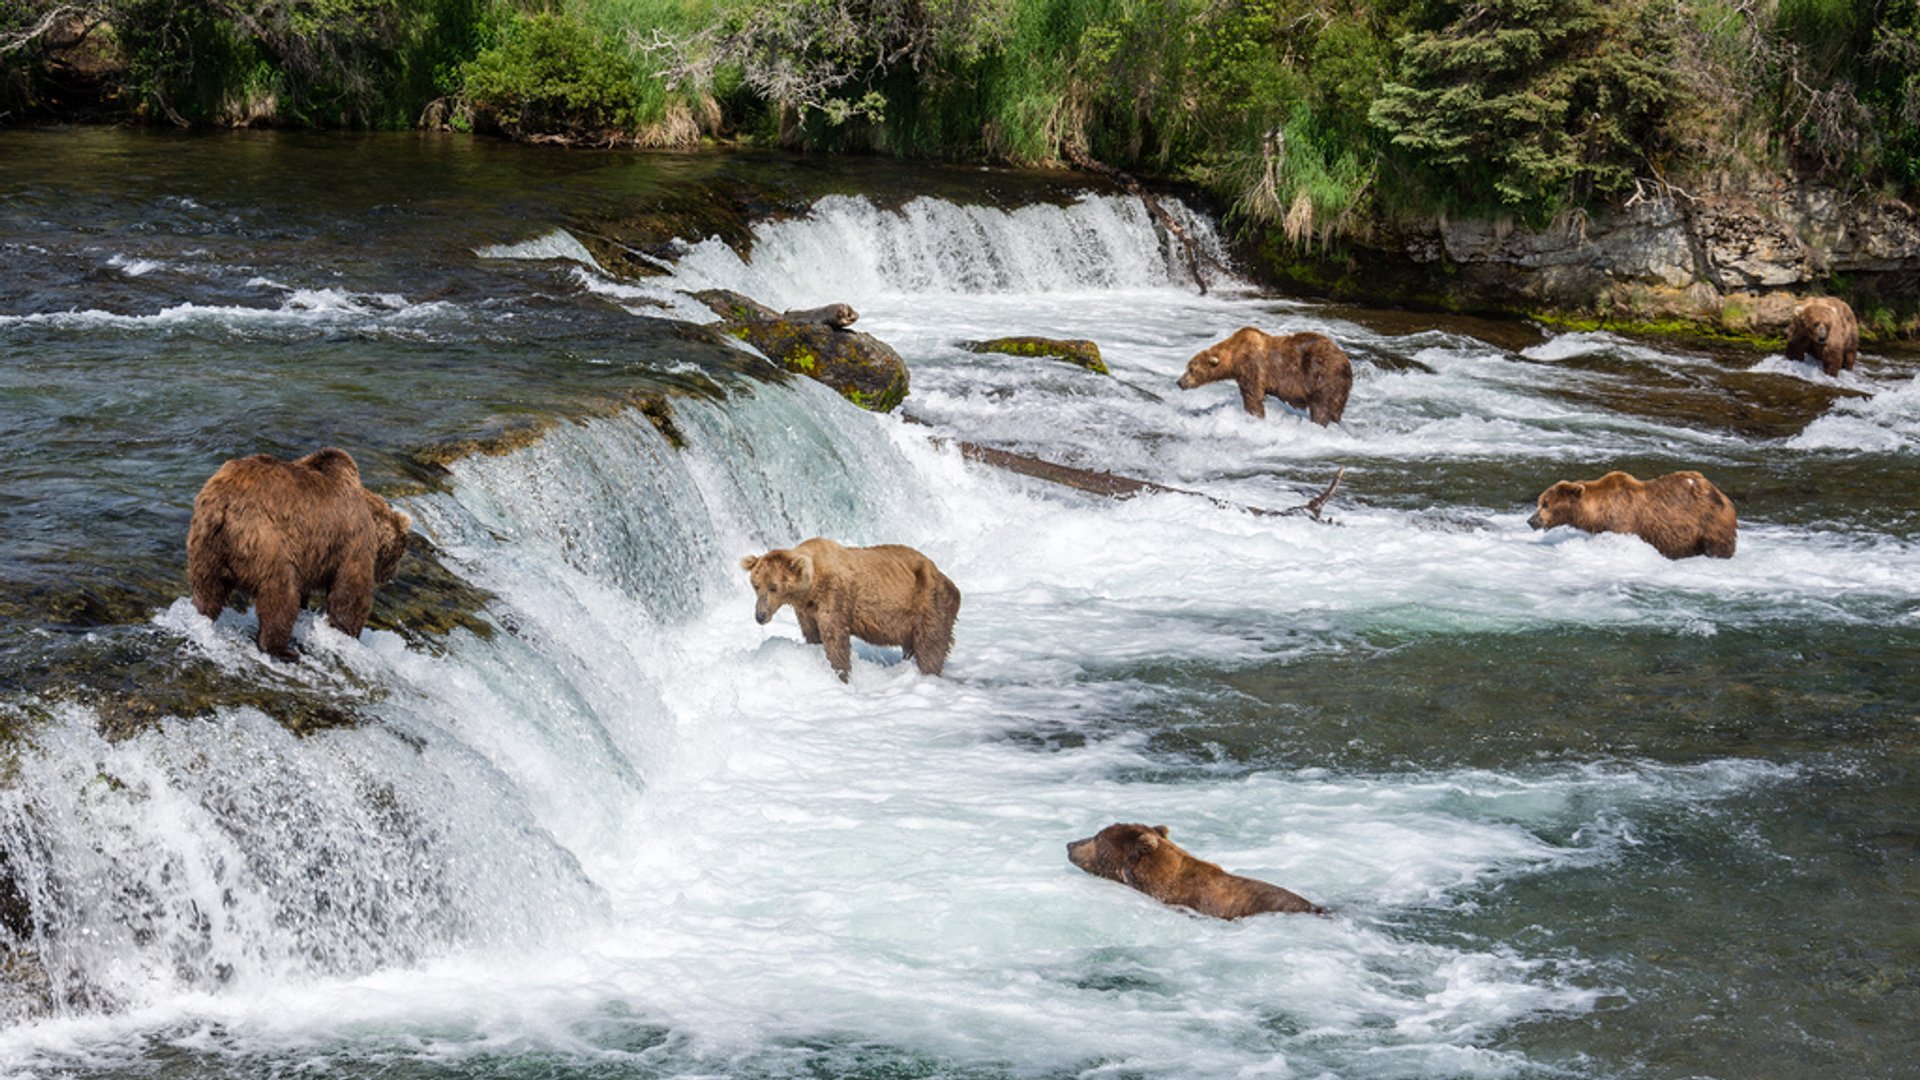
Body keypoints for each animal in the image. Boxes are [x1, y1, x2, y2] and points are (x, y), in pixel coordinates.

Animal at [187, 445, 412, 657]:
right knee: (280, 594)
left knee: (208, 589)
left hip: (205, 545)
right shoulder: (352, 540)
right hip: (266, 540)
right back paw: (281, 649)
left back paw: (202, 617)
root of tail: (224, 504)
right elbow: (351, 592)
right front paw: (348, 633)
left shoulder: (311, 551)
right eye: (400, 551)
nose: (391, 576)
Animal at [744, 534, 967, 676]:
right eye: (756, 585)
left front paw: (841, 672)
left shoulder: (835, 594)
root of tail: (945, 578)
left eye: (773, 587)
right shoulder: (806, 610)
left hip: (928, 601)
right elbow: (813, 634)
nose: (760, 615)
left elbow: (835, 637)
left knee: (930, 645)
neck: (811, 588)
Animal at [1175, 322, 1359, 424]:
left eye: (1191, 370)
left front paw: (1255, 416)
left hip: (1324, 377)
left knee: (1322, 408)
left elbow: (1252, 396)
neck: (1235, 356)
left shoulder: (1252, 366)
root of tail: (1347, 362)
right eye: (1187, 367)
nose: (1179, 382)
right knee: (1335, 411)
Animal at [1528, 468, 1743, 557]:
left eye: (1545, 504)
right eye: (1539, 502)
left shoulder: (1624, 521)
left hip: (1709, 522)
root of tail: (1724, 497)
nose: (1531, 520)